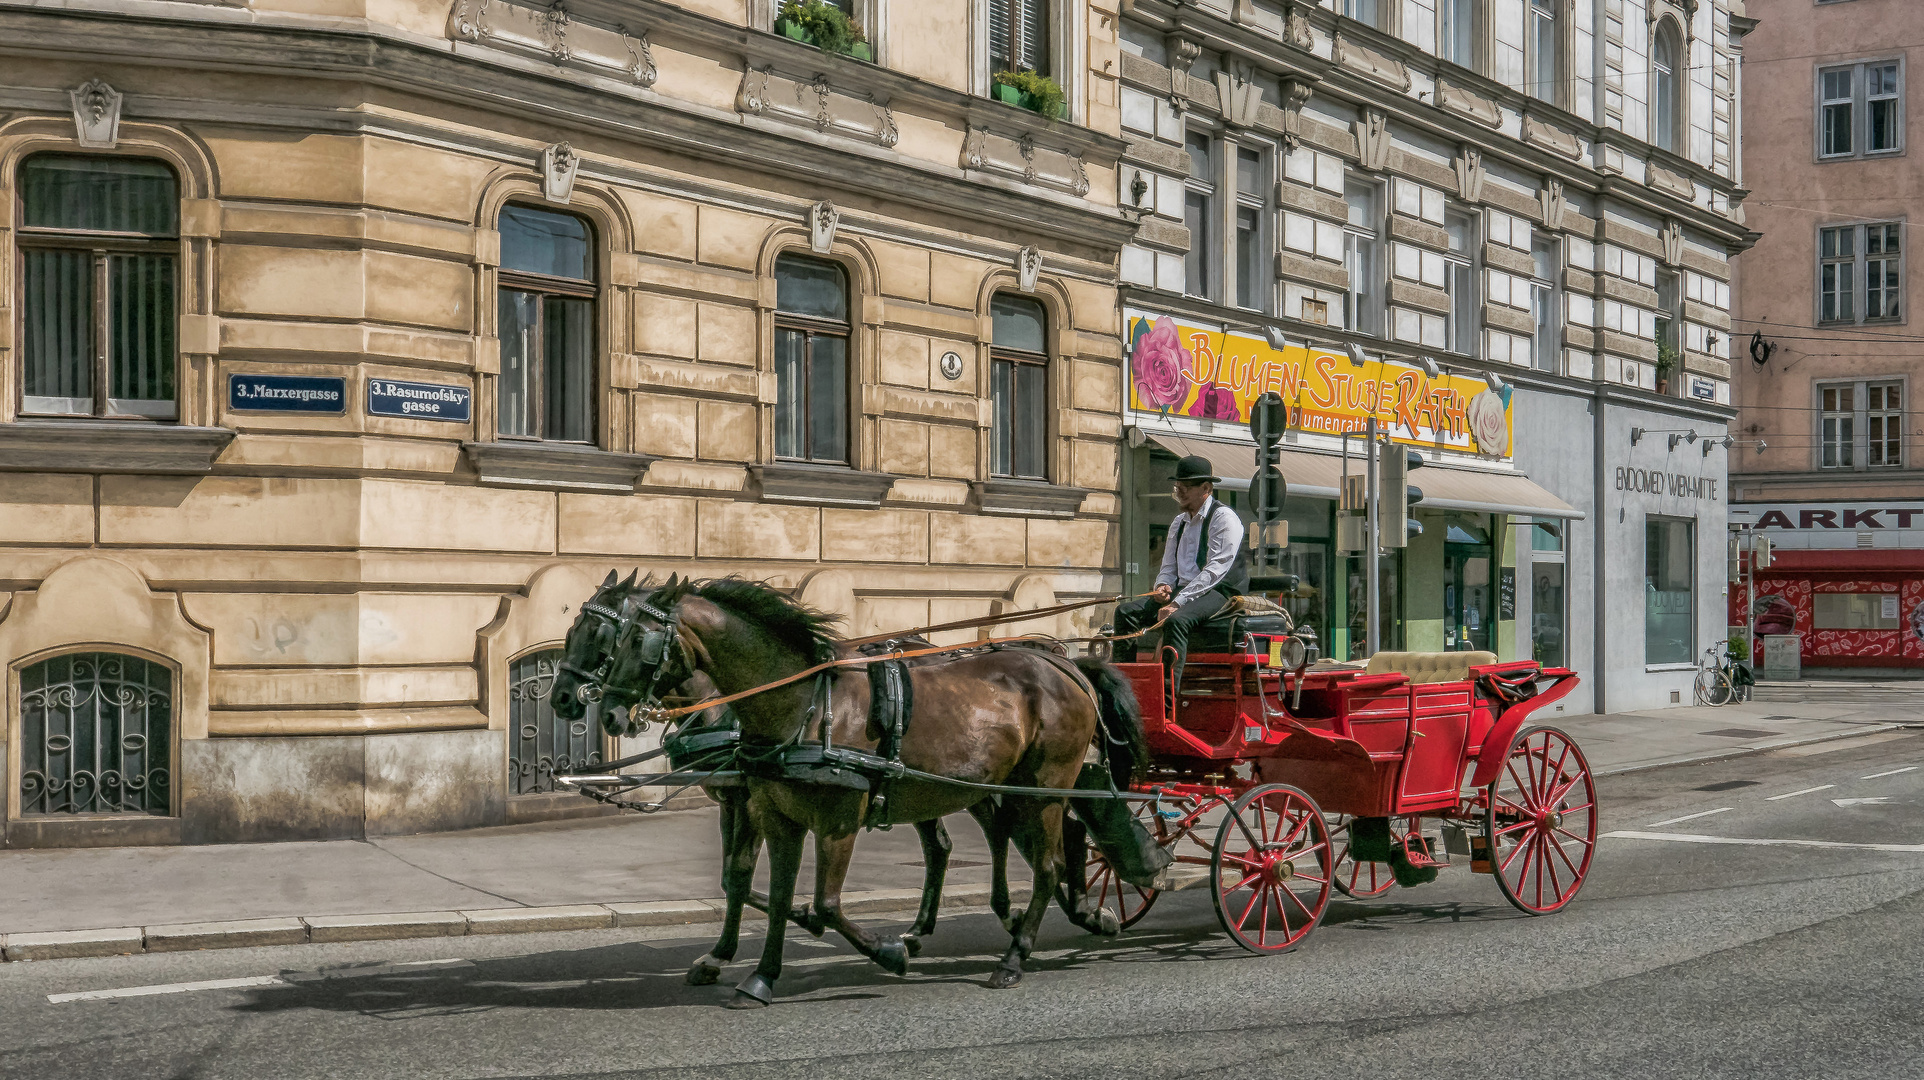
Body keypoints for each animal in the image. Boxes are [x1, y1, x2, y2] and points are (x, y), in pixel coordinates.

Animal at [550, 577, 1139, 1008]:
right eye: (582, 632)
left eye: (628, 640)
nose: (573, 702)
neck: (801, 705)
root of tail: (1063, 662)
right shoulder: (769, 809)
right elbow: (761, 887)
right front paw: (756, 974)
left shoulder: (830, 820)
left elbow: (823, 903)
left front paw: (884, 953)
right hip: (981, 784)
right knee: (980, 845)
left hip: (1042, 786)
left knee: (1048, 862)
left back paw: (1018, 952)